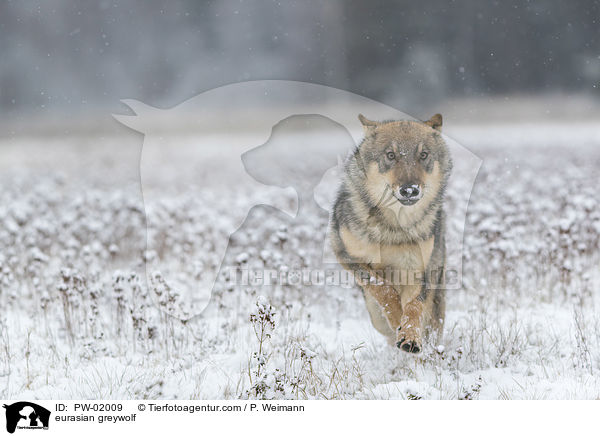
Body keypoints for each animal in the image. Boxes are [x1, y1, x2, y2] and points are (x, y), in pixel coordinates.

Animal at [330, 113, 452, 354]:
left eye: (423, 155)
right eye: (391, 155)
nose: (409, 190)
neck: (394, 228)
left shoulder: (420, 269)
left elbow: (414, 305)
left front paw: (410, 336)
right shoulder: (347, 256)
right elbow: (384, 290)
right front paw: (398, 321)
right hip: (374, 315)